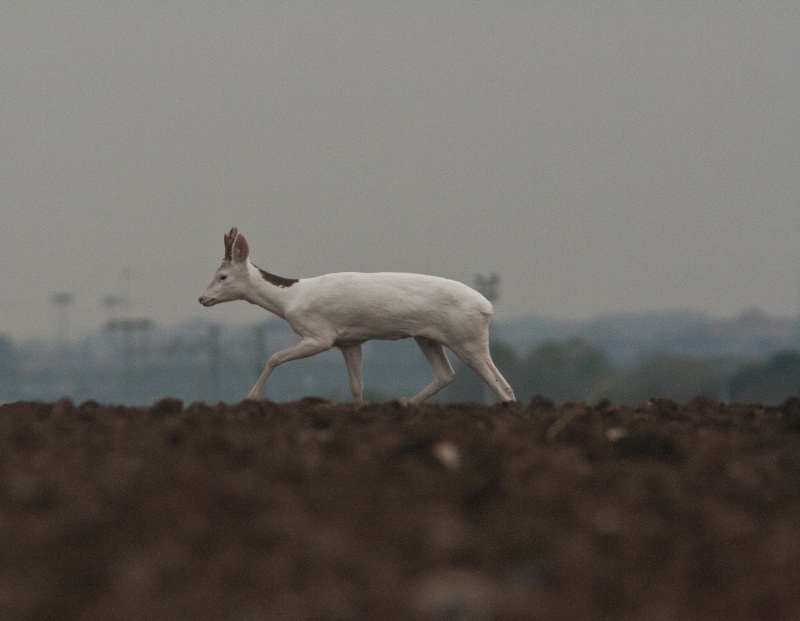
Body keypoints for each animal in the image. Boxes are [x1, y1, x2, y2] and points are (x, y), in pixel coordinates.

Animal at [197, 226, 516, 402]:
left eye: (223, 276)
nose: (202, 298)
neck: (290, 299)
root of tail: (487, 307)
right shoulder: (349, 342)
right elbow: (356, 388)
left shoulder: (320, 335)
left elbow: (273, 357)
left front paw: (250, 397)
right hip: (427, 338)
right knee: (445, 375)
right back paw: (406, 402)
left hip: (468, 340)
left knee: (503, 386)